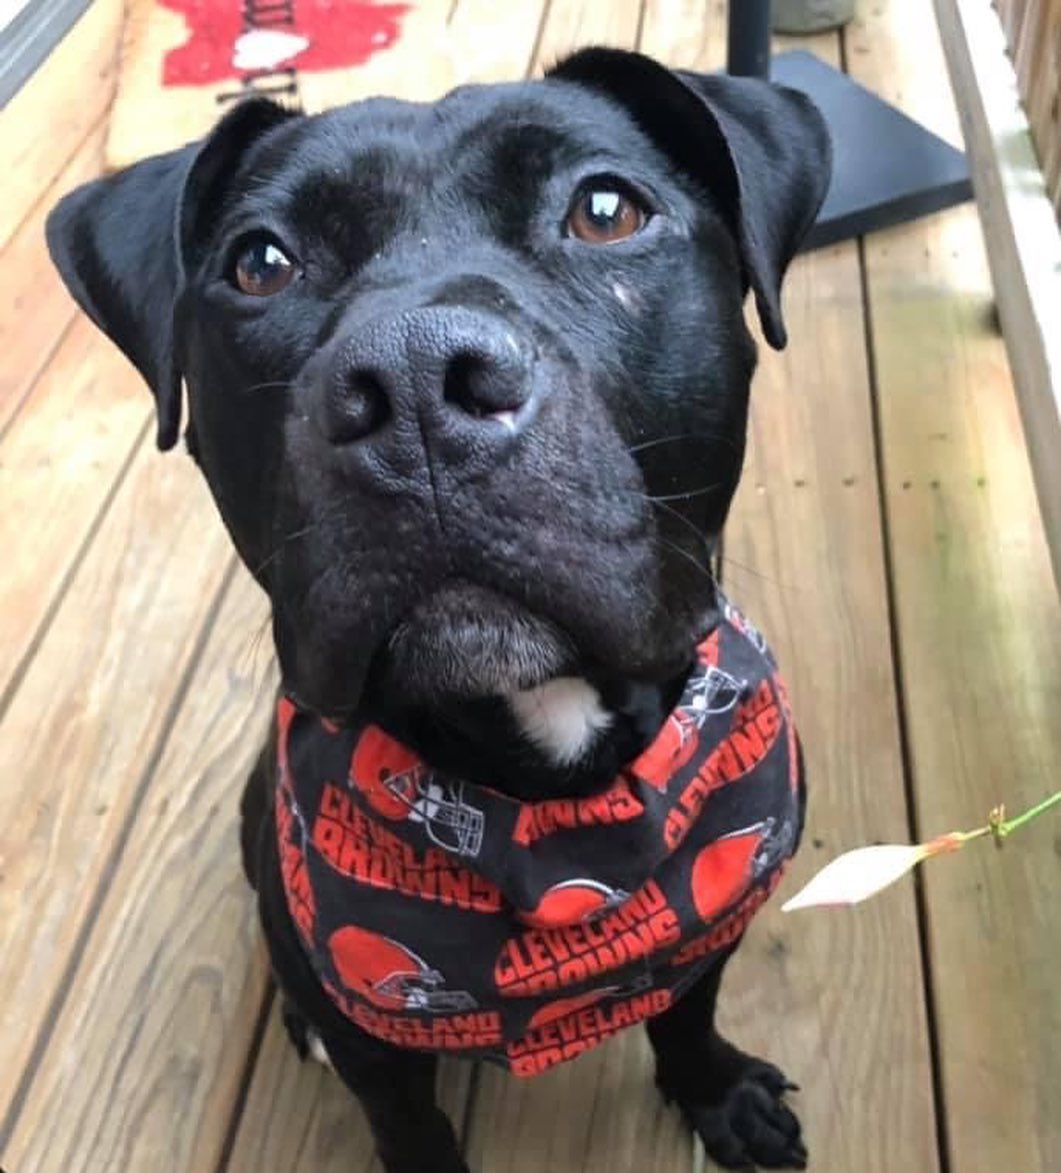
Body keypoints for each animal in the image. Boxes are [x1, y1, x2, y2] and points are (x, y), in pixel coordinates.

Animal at [47, 48, 830, 1173]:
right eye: (259, 264)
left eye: (605, 209)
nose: (413, 376)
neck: (550, 806)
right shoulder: (379, 1048)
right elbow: (407, 1125)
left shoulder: (710, 913)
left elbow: (687, 1010)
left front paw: (718, 1092)